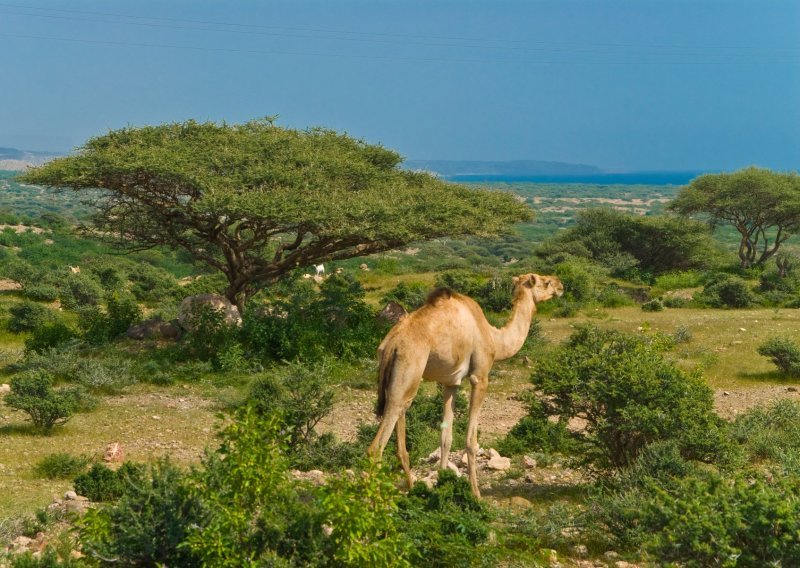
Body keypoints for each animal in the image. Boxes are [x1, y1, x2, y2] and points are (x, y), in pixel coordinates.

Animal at [368, 272, 564, 494]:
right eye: (545, 282)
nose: (560, 285)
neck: (495, 338)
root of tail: (390, 346)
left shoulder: (451, 383)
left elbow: (446, 437)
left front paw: (442, 482)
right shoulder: (480, 376)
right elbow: (471, 440)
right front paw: (476, 493)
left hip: (402, 382)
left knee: (400, 434)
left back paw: (410, 488)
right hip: (407, 372)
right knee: (377, 446)